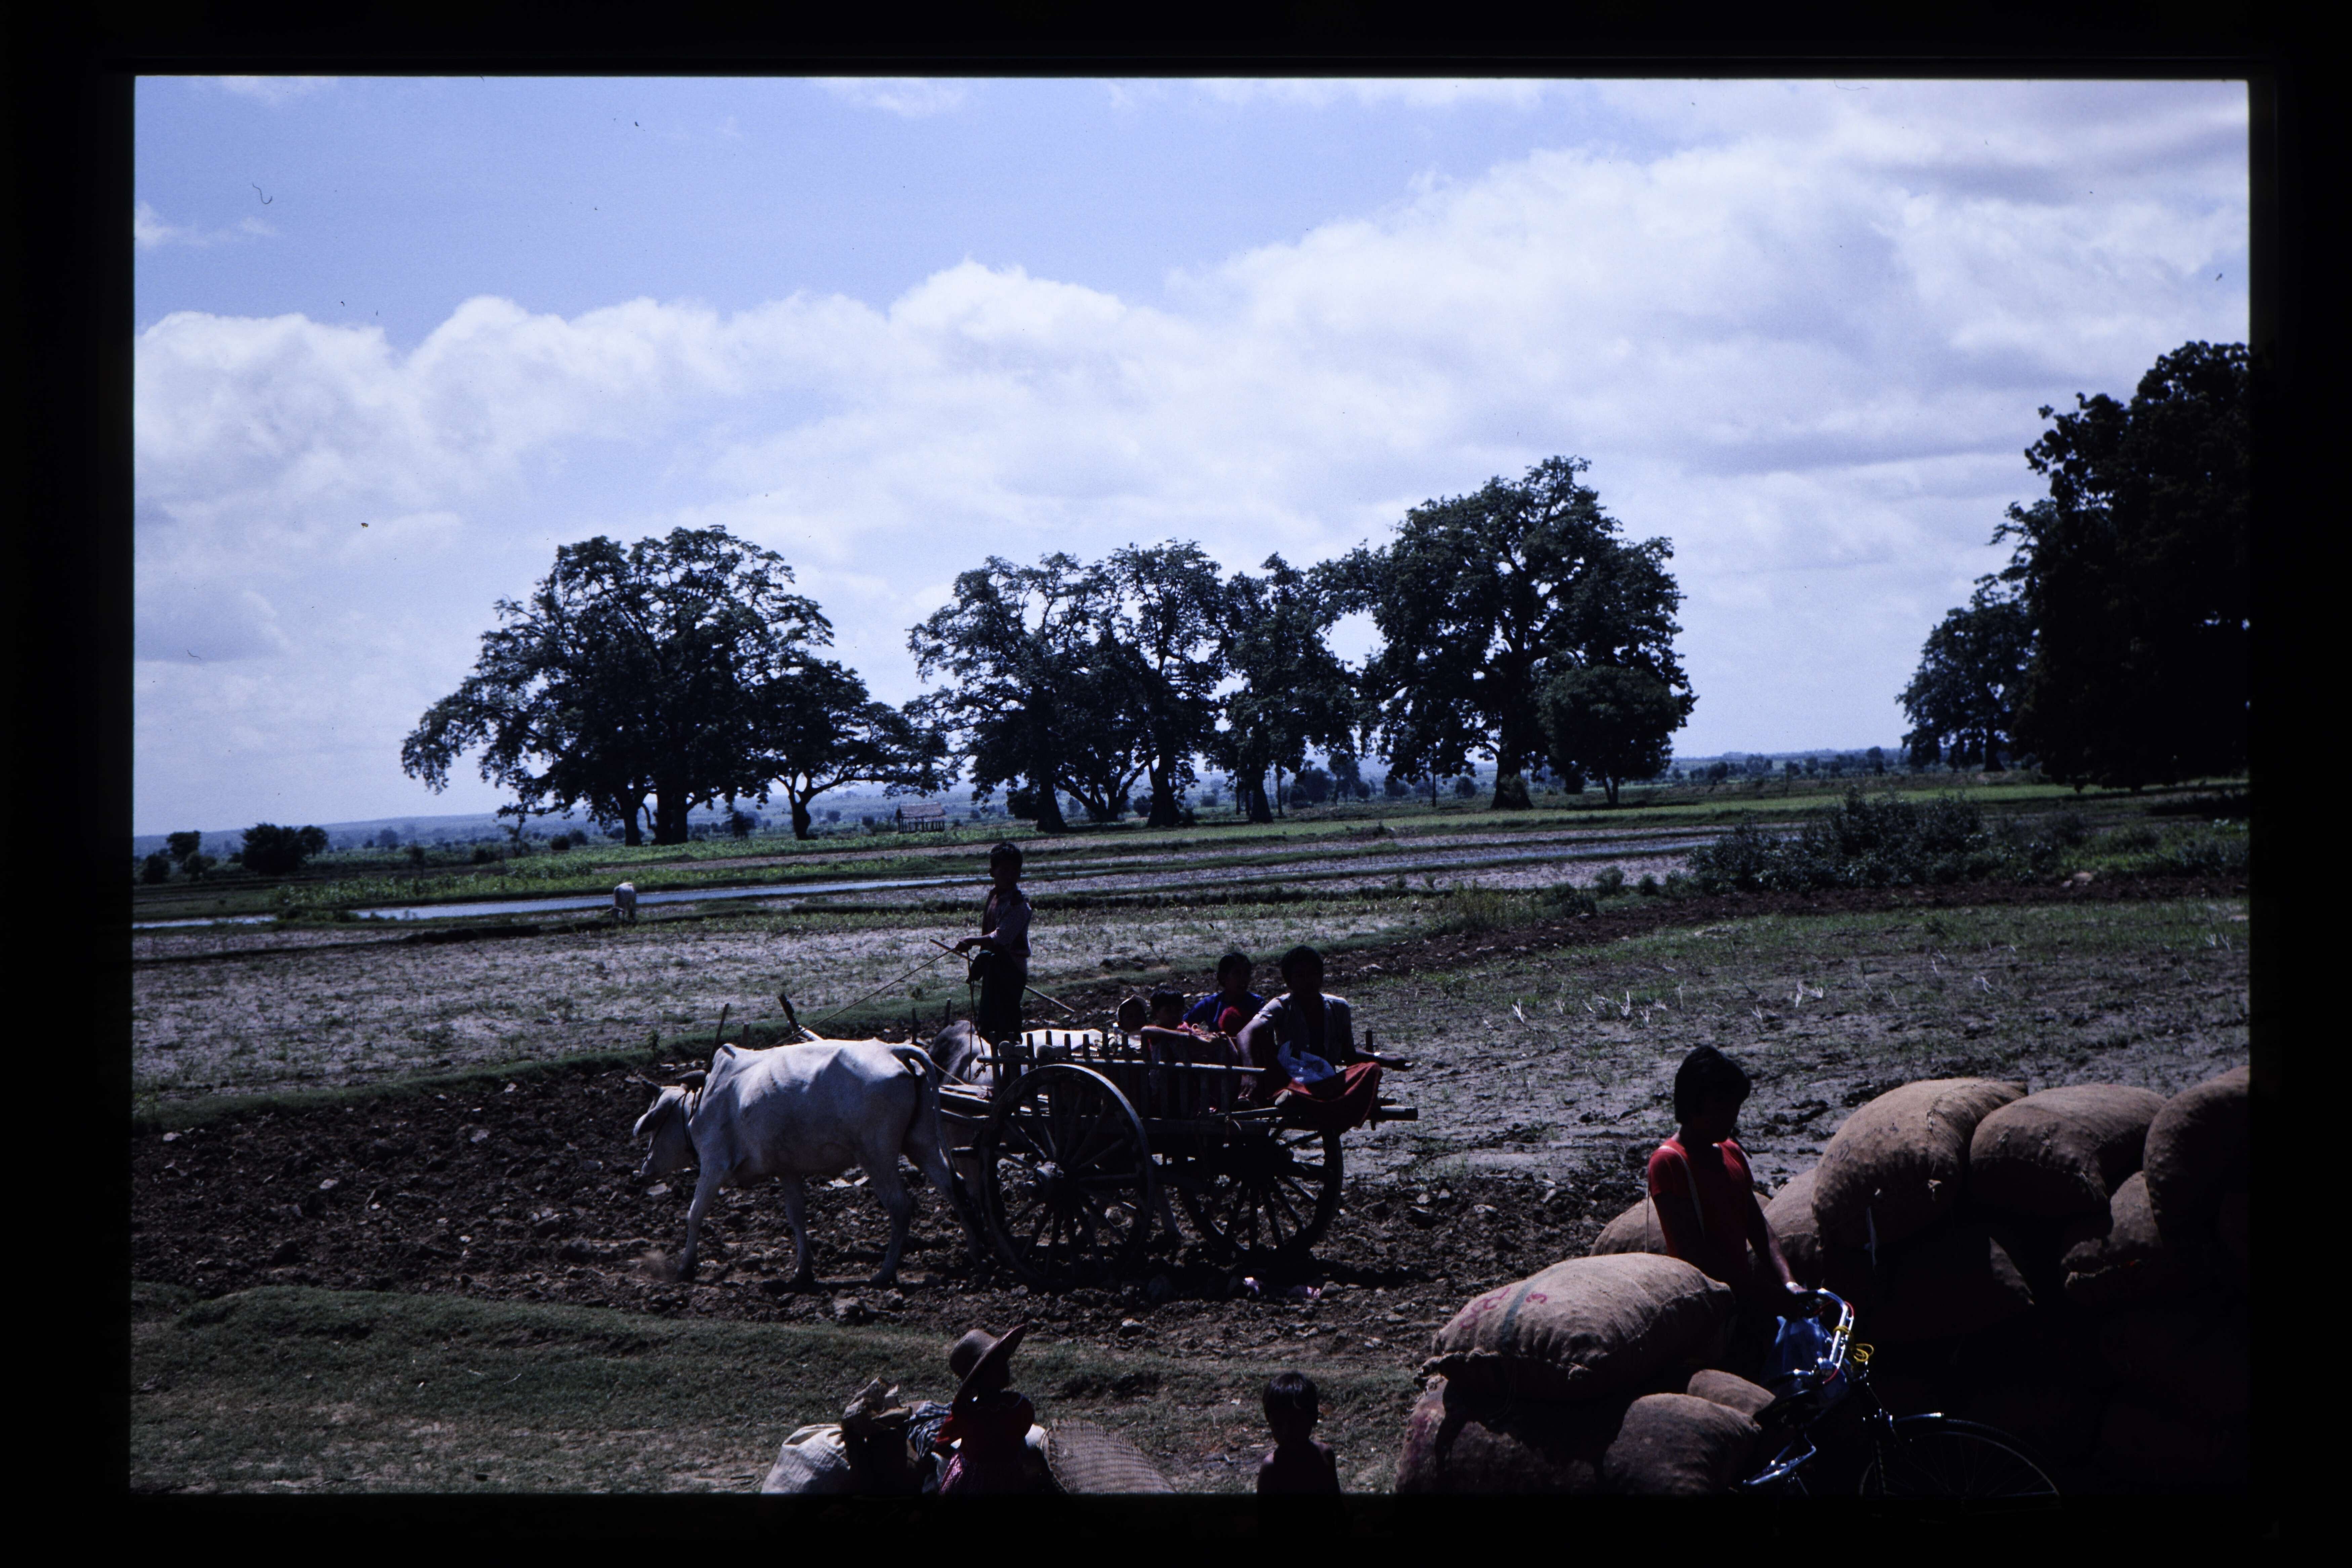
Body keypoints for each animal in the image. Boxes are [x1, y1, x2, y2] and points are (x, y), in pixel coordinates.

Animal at [633, 1038, 982, 1287]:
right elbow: (797, 1216)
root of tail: (892, 1049)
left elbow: (695, 1212)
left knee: (901, 1206)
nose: (643, 1170)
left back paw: (885, 1273)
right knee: (955, 1187)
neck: (700, 1103)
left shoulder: (714, 1164)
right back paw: (977, 1256)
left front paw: (685, 1266)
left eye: (656, 1122)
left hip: (877, 1156)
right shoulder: (787, 1170)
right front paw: (803, 1270)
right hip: (921, 1144)